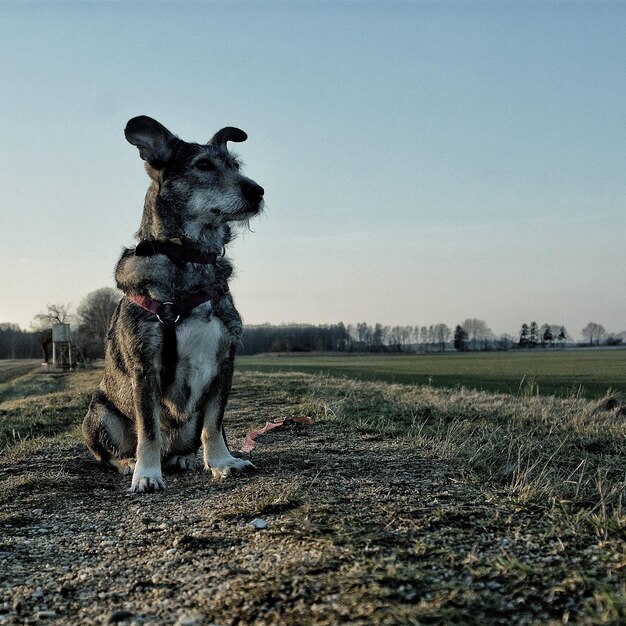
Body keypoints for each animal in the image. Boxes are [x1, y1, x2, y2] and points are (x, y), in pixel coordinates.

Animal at [82, 114, 264, 490]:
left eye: (236, 166)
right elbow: (148, 430)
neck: (190, 258)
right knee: (110, 453)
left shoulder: (225, 361)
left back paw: (183, 458)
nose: (258, 191)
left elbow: (214, 424)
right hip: (100, 413)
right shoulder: (146, 366)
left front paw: (222, 461)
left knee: (188, 438)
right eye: (203, 165)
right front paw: (147, 474)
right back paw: (129, 463)